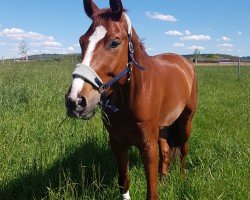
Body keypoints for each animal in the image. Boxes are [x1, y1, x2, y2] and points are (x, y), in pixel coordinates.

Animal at [65, 0, 197, 199]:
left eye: (114, 43)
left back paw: (182, 178)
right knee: (166, 151)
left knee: (183, 149)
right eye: (82, 41)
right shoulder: (118, 144)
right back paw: (164, 179)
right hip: (164, 126)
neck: (130, 100)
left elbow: (152, 191)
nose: (75, 101)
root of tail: (186, 63)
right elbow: (124, 182)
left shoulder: (148, 147)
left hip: (186, 120)